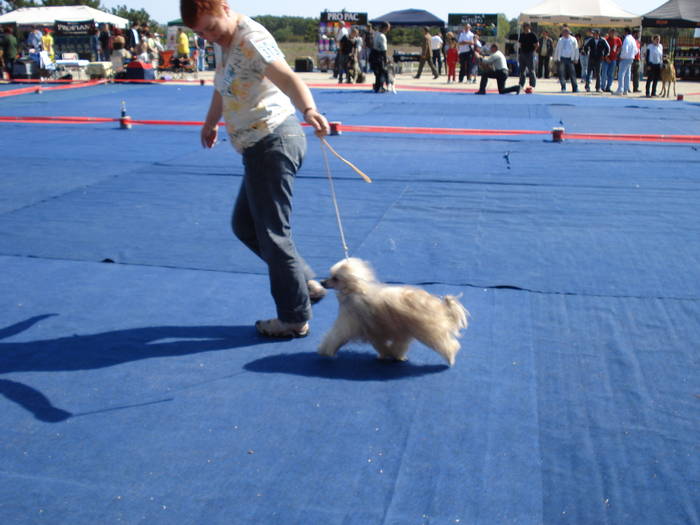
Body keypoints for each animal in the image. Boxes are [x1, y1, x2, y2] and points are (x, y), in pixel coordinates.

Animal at [318, 258, 470, 364]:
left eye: (335, 278)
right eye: (330, 276)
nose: (322, 283)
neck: (355, 290)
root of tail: (439, 304)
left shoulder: (353, 323)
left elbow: (336, 336)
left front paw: (325, 351)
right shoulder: (389, 332)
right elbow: (388, 346)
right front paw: (392, 356)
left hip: (429, 330)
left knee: (448, 345)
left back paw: (451, 358)